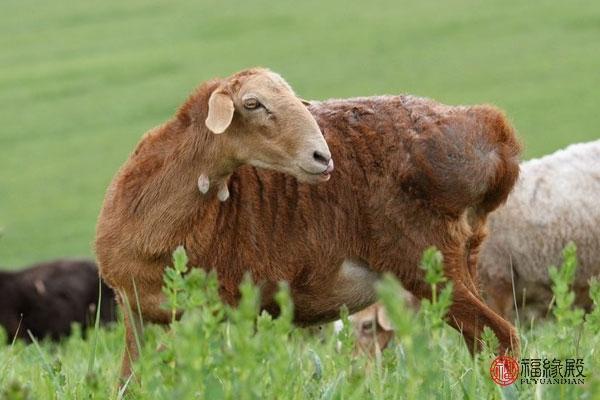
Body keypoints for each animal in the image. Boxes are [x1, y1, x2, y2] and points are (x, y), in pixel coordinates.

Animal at [96, 67, 524, 380]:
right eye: (252, 103)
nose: (323, 157)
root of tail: (489, 130)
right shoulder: (134, 309)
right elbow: (129, 380)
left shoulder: (210, 310)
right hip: (464, 260)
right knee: (481, 341)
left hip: (432, 265)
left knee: (502, 337)